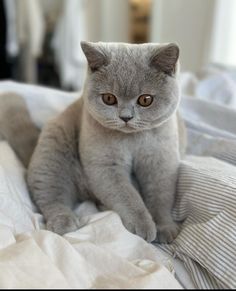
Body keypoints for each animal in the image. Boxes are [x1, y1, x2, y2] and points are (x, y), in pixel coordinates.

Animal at [26, 41, 183, 244]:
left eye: (145, 100)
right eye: (109, 98)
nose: (126, 117)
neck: (132, 140)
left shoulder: (161, 163)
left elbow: (161, 196)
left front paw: (164, 226)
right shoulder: (105, 166)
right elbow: (127, 195)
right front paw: (143, 224)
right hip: (52, 152)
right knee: (51, 194)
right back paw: (64, 221)